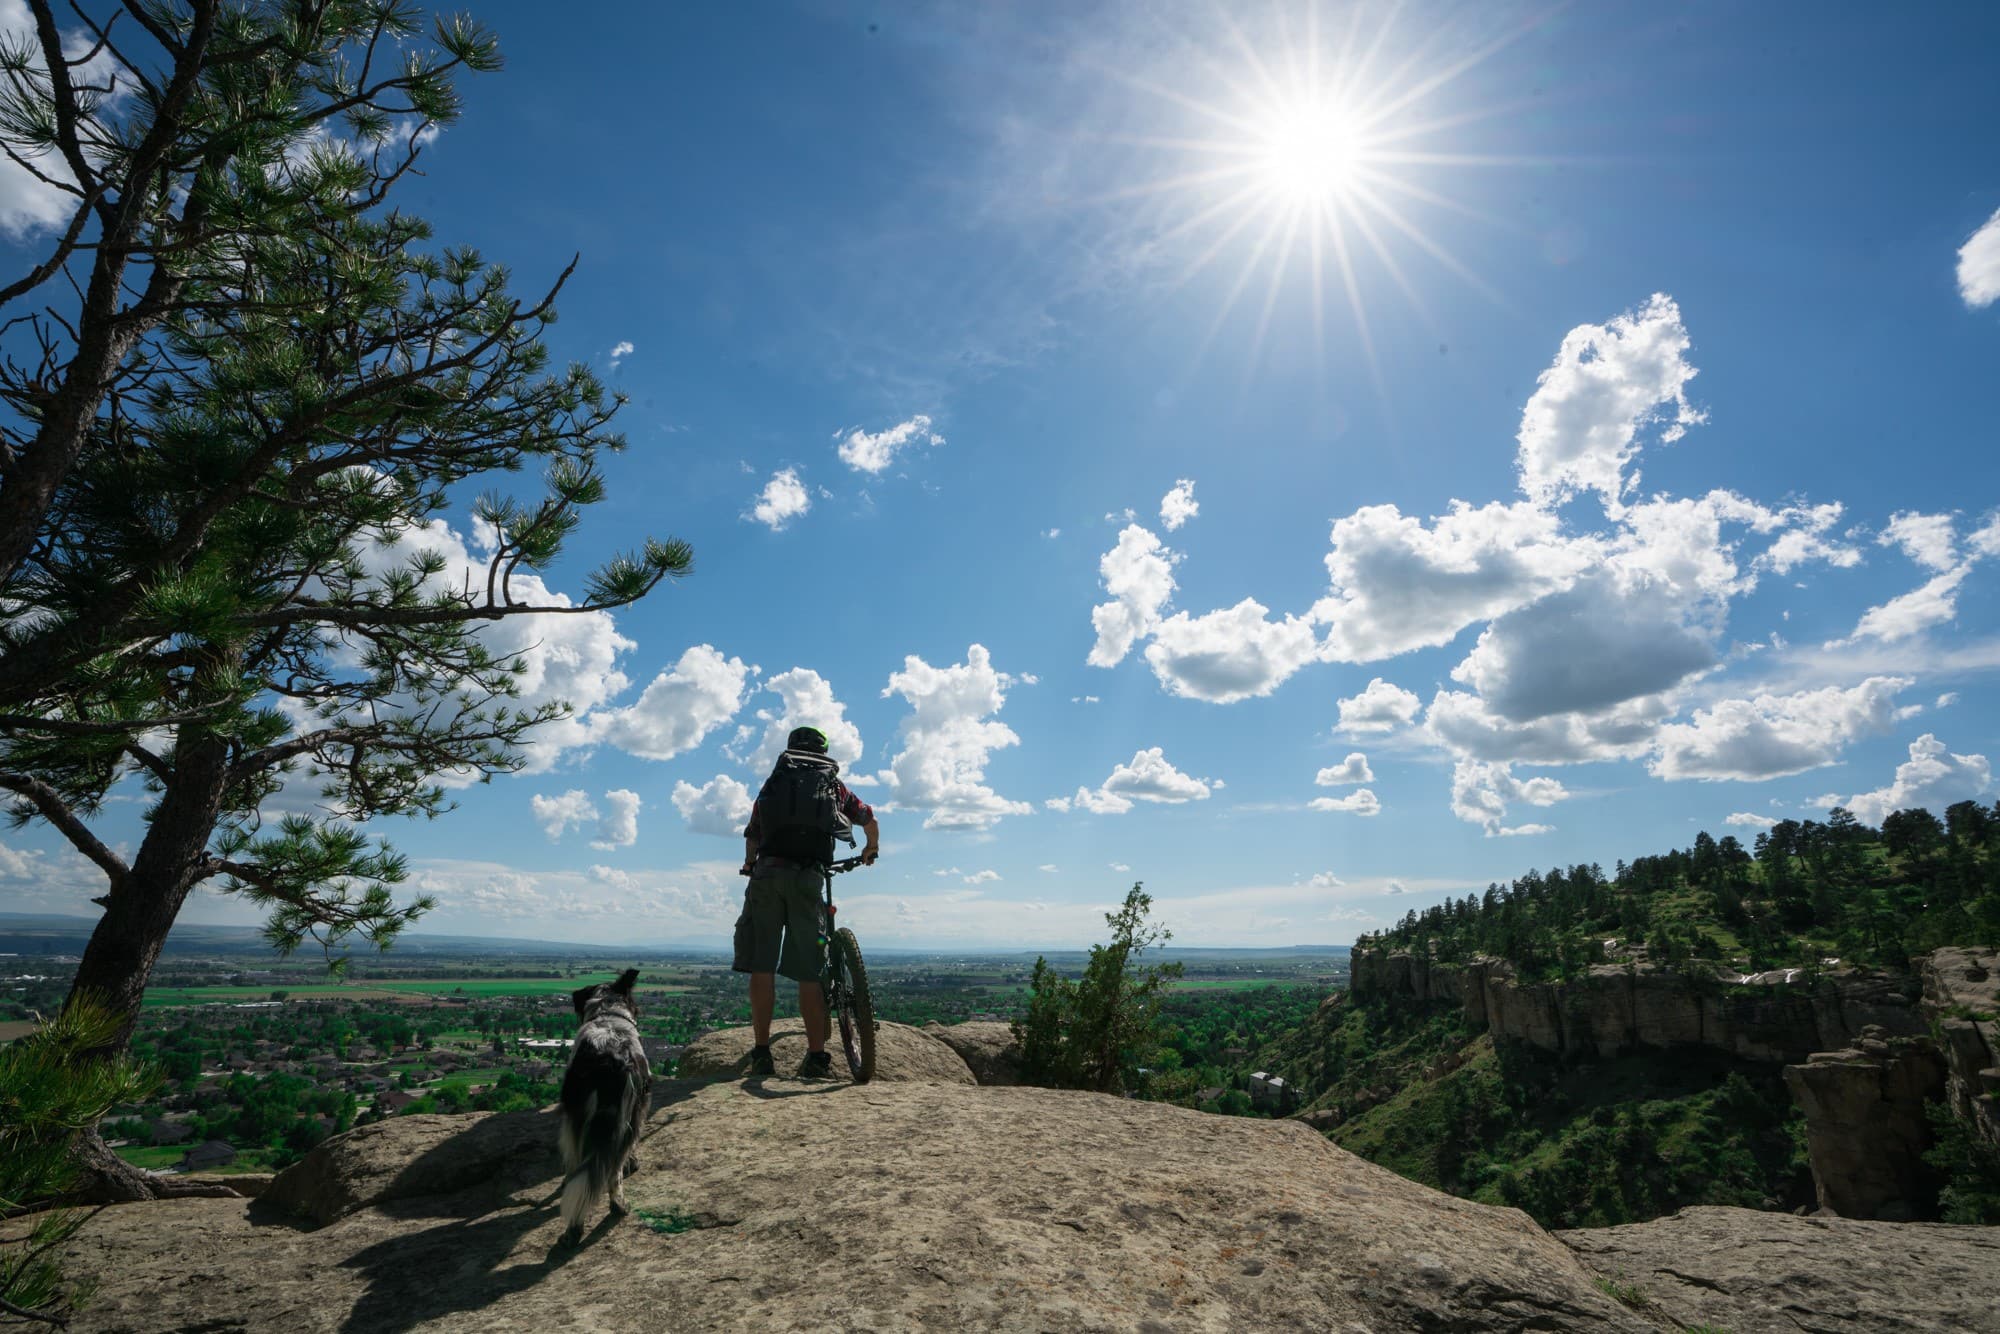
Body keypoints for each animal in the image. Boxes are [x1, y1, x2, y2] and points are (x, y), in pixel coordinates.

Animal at [560, 972, 652, 1240]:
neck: (608, 1014)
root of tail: (609, 1058)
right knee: (611, 1172)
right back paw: (617, 1206)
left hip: (576, 1118)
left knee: (583, 1169)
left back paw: (575, 1228)